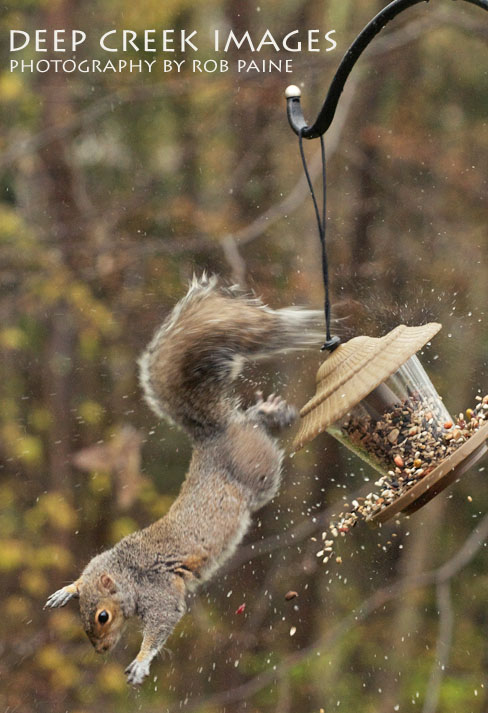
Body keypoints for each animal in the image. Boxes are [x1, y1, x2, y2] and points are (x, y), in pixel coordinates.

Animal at [45, 275, 321, 685]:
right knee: (248, 417)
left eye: (102, 617)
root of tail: (212, 434)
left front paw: (141, 661)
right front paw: (67, 589)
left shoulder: (159, 592)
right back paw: (268, 410)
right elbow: (85, 572)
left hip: (259, 470)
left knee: (255, 436)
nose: (101, 651)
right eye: (83, 620)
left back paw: (272, 415)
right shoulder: (100, 561)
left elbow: (162, 621)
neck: (127, 572)